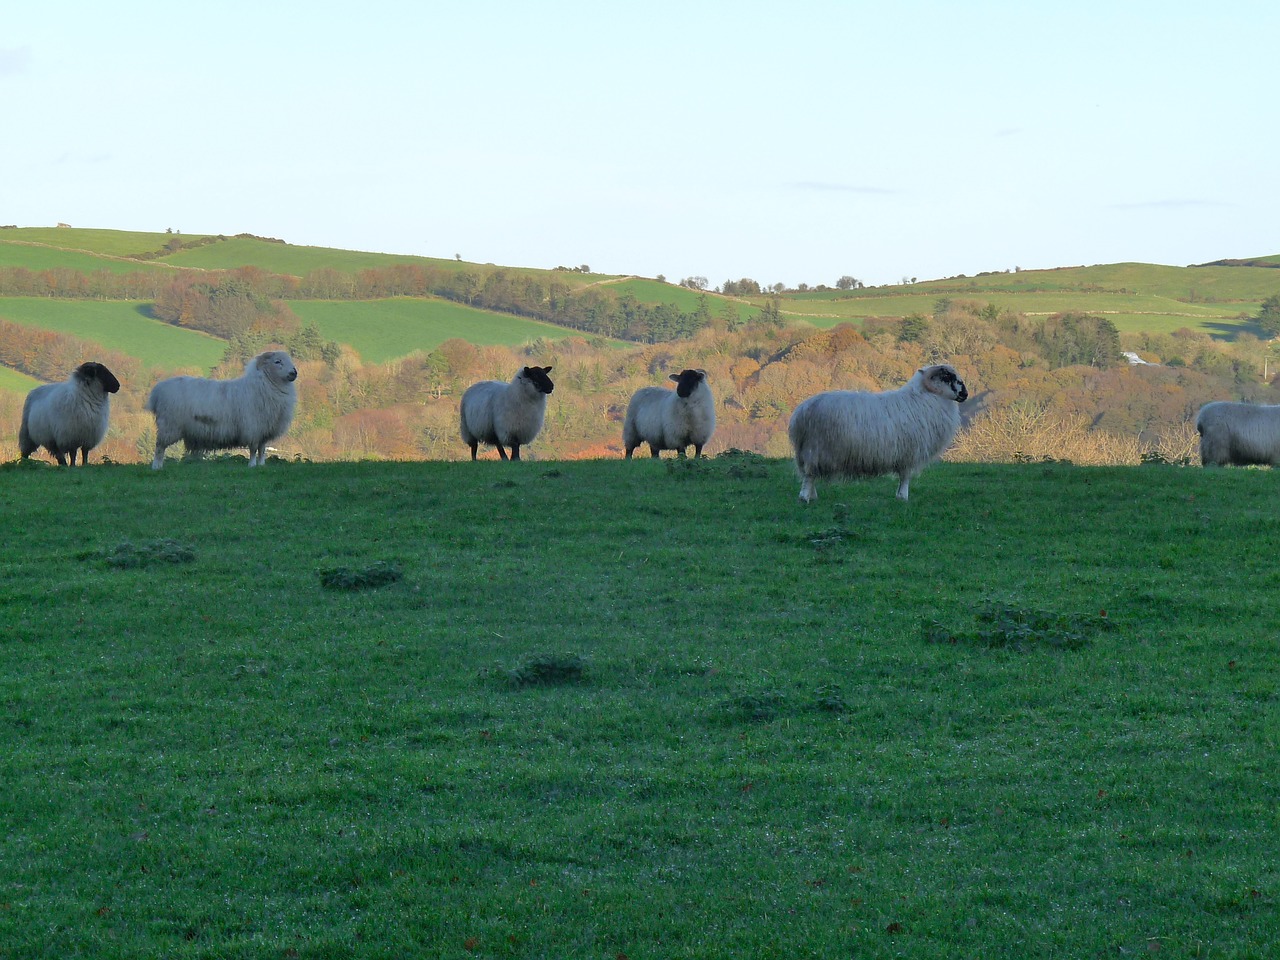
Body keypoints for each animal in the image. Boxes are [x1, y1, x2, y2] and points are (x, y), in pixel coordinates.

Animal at [145, 350, 296, 471]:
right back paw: (156, 467)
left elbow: (262, 450)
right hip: (169, 425)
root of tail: (157, 390)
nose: (294, 373)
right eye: (277, 361)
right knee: (159, 447)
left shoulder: (264, 430)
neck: (264, 385)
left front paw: (262, 465)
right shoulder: (252, 428)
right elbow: (253, 449)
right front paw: (252, 465)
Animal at [783, 363, 962, 504]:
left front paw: (899, 496)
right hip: (816, 449)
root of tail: (800, 413)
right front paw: (903, 497)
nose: (965, 394)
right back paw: (804, 497)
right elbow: (905, 477)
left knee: (809, 474)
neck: (926, 398)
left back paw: (812, 495)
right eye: (948, 377)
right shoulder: (909, 453)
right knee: (809, 474)